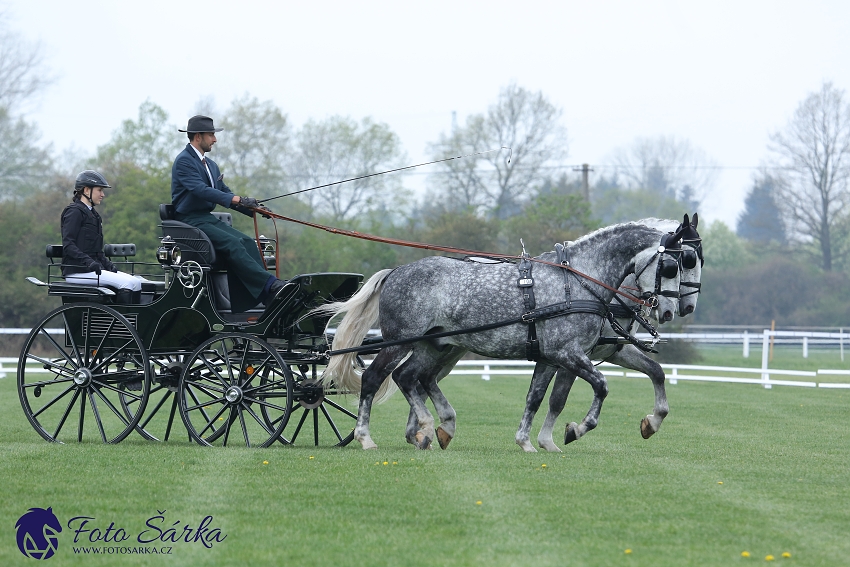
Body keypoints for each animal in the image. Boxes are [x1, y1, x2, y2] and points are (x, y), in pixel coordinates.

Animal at [314, 220, 684, 450]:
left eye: (686, 263)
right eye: (672, 266)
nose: (668, 310)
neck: (578, 281)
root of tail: (397, 271)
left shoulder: (553, 356)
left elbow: (537, 397)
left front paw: (529, 441)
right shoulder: (568, 353)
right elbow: (600, 387)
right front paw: (576, 429)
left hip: (433, 346)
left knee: (410, 377)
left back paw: (432, 429)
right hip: (400, 342)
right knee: (376, 378)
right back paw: (368, 437)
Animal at [516, 213, 704, 452]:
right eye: (687, 260)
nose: (687, 306)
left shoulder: (615, 350)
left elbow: (656, 371)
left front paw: (652, 422)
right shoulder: (572, 353)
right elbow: (557, 399)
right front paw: (552, 439)